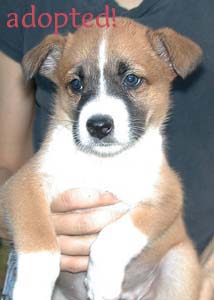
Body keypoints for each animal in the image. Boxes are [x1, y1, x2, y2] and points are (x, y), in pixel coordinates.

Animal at [0, 18, 203, 300]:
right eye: (76, 84)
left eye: (131, 79)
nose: (98, 126)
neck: (102, 163)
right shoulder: (22, 185)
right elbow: (40, 241)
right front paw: (33, 287)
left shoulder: (168, 196)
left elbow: (115, 234)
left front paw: (102, 279)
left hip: (179, 264)